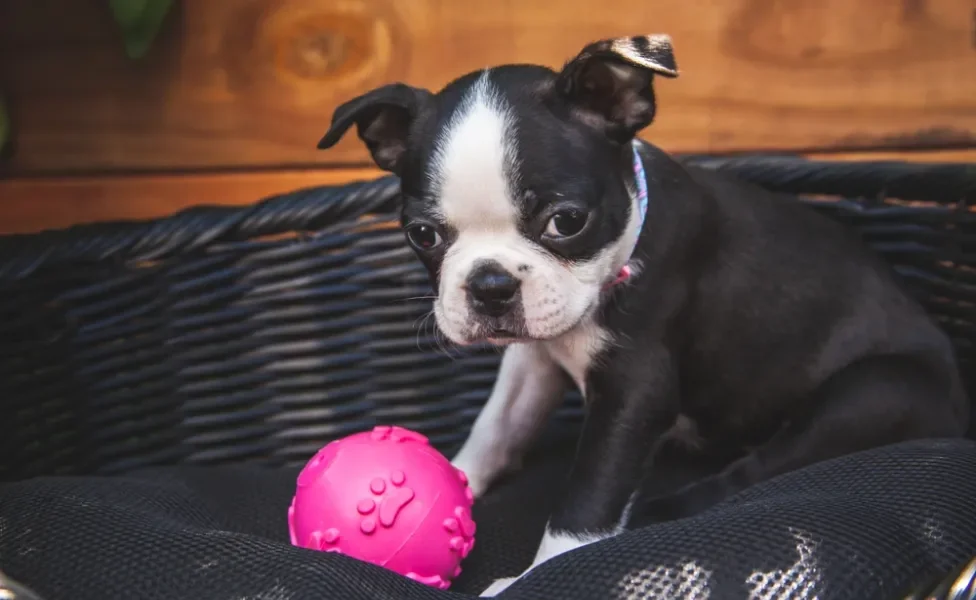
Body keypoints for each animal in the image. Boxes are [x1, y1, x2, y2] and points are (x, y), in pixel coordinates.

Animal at [318, 35, 968, 596]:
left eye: (566, 221)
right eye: (422, 234)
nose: (490, 285)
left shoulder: (636, 390)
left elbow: (586, 501)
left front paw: (537, 576)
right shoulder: (535, 359)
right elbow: (498, 426)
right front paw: (456, 480)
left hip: (874, 390)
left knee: (761, 468)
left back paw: (669, 506)